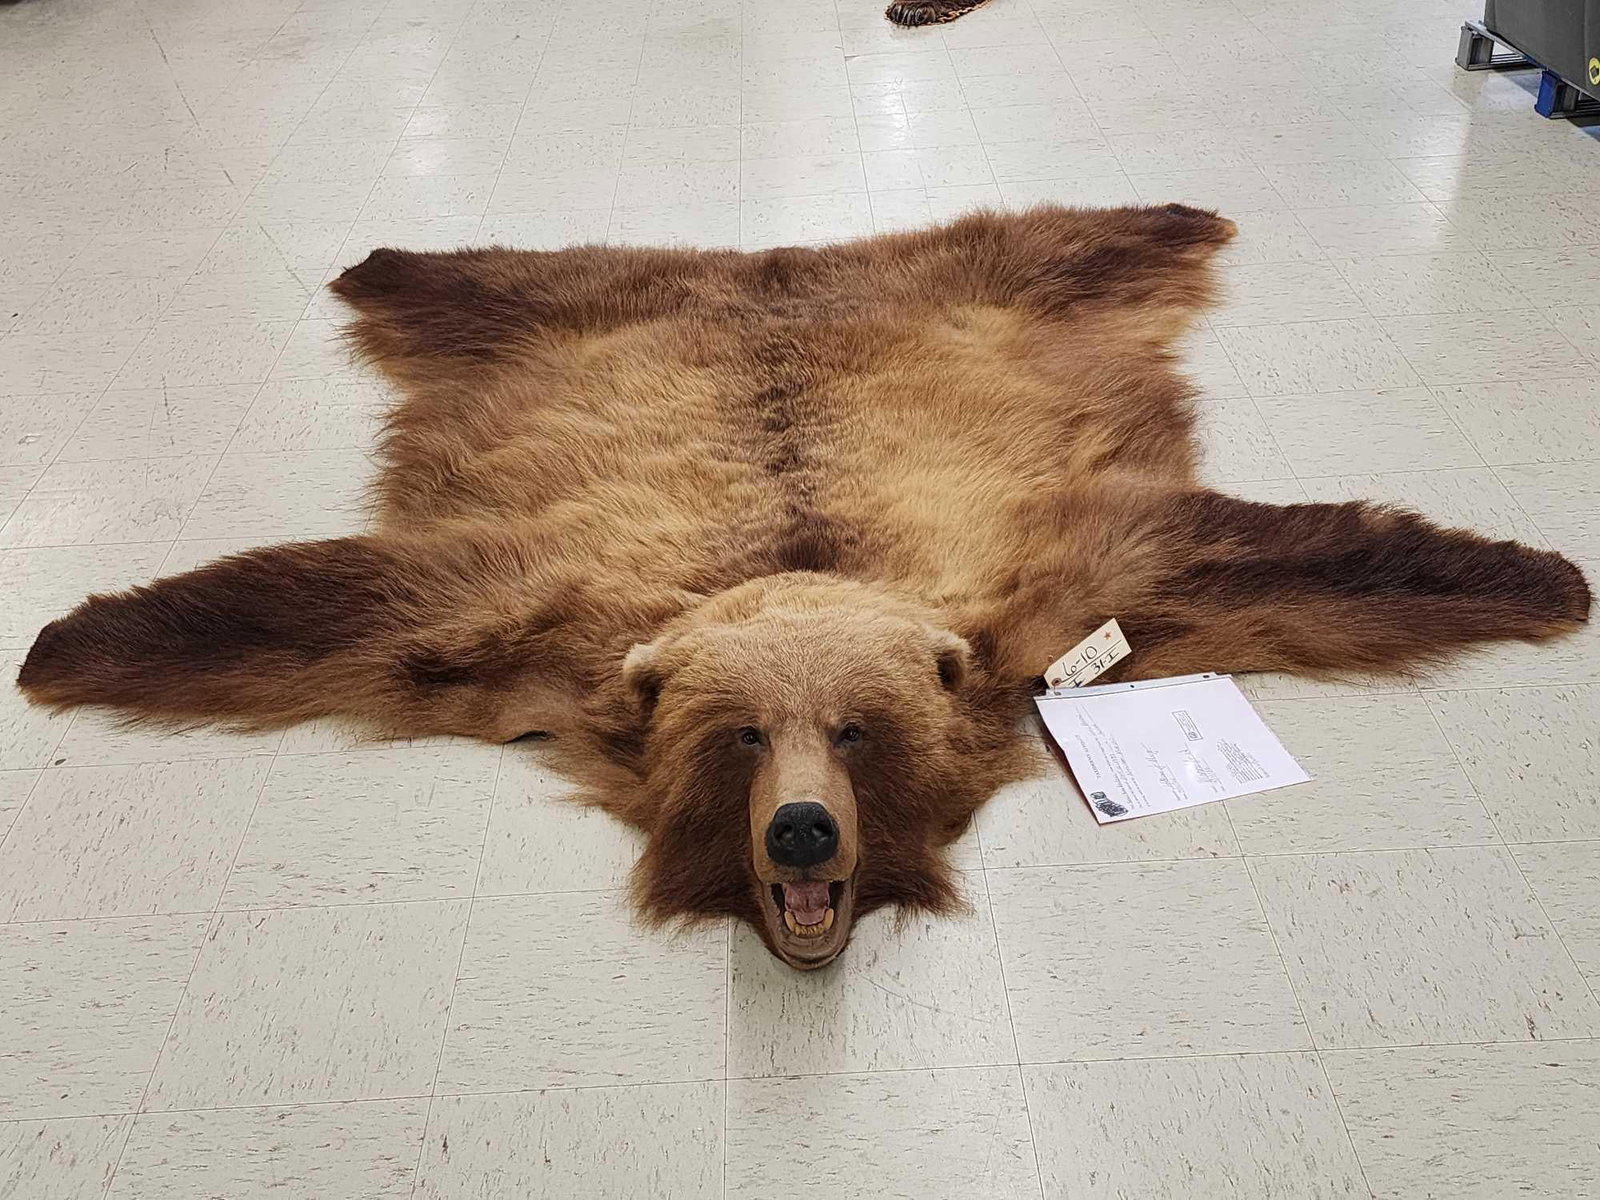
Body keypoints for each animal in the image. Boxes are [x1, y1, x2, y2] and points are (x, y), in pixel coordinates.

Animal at [17, 205, 1591, 969]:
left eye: (856, 731)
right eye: (737, 739)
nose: (801, 832)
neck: (790, 571)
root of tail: (771, 260)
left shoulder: (1057, 587)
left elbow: (1266, 553)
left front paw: (1534, 570)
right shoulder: (523, 619)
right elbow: (329, 603)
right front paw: (72, 640)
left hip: (989, 286)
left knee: (1054, 237)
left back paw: (1172, 217)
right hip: (574, 308)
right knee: (500, 279)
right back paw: (391, 262)